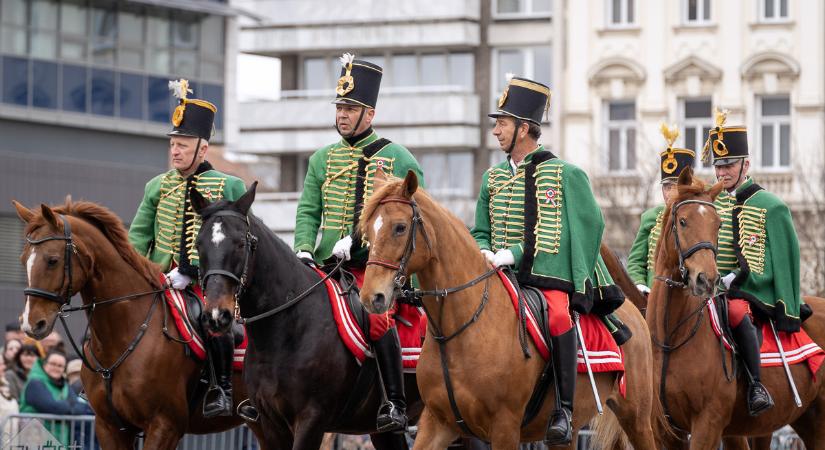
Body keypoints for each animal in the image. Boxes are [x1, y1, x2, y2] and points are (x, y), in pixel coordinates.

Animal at [12, 200, 266, 450]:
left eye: (52, 260)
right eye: (23, 260)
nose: (31, 324)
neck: (122, 335)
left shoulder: (165, 425)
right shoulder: (109, 427)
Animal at [187, 183, 424, 450]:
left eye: (240, 243)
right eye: (199, 245)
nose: (217, 315)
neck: (284, 332)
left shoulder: (312, 419)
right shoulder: (270, 423)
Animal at [356, 171, 664, 450]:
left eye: (399, 227)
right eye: (367, 229)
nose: (372, 296)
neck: (461, 329)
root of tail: (633, 310)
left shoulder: (505, 426)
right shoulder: (437, 423)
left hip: (637, 419)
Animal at [640, 168, 824, 450]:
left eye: (718, 224)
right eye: (682, 221)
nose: (706, 279)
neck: (671, 338)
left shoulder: (708, 424)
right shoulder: (666, 431)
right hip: (805, 421)